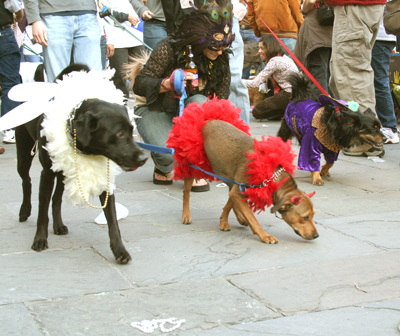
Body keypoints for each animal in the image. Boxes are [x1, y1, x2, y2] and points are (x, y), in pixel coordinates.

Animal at [15, 64, 148, 264]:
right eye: (119, 133)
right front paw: (39, 239)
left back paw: (58, 225)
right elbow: (42, 213)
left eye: (132, 129)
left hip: (65, 171)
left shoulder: (102, 178)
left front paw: (119, 250)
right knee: (26, 182)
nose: (143, 158)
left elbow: (113, 222)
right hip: (24, 157)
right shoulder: (47, 174)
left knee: (56, 198)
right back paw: (24, 210)